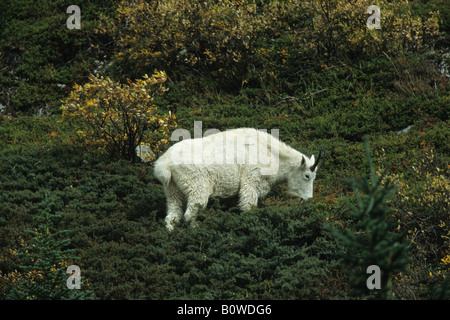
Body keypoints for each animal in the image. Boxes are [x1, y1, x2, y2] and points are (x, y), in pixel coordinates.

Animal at [153, 127, 326, 230]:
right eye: (307, 176)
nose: (308, 199)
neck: (272, 154)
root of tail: (165, 163)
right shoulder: (251, 180)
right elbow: (248, 206)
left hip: (172, 190)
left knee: (172, 216)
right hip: (197, 187)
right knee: (190, 214)